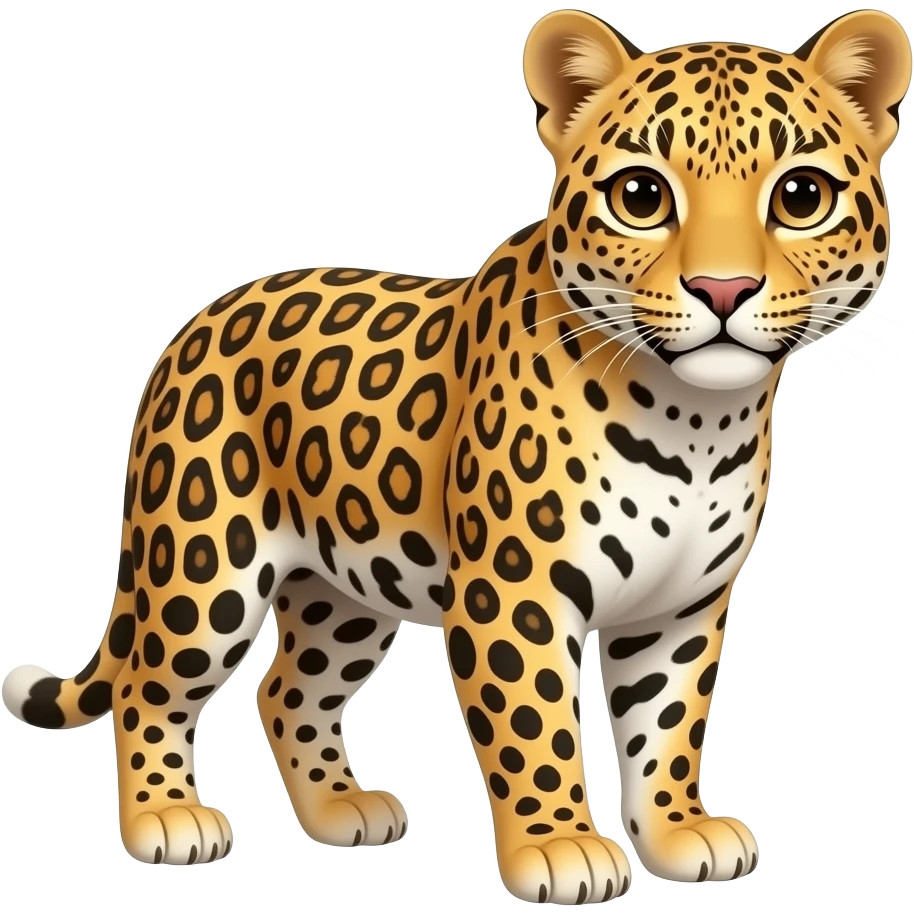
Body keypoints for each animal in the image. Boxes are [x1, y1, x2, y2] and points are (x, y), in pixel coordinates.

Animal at [3, 7, 911, 904]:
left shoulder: (679, 606)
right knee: (149, 685)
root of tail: (194, 325)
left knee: (287, 689)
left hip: (342, 588)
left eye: (801, 196)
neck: (696, 422)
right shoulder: (513, 591)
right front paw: (561, 848)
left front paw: (678, 833)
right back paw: (166, 819)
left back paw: (339, 811)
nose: (724, 291)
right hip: (203, 565)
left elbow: (669, 725)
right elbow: (533, 722)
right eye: (641, 196)